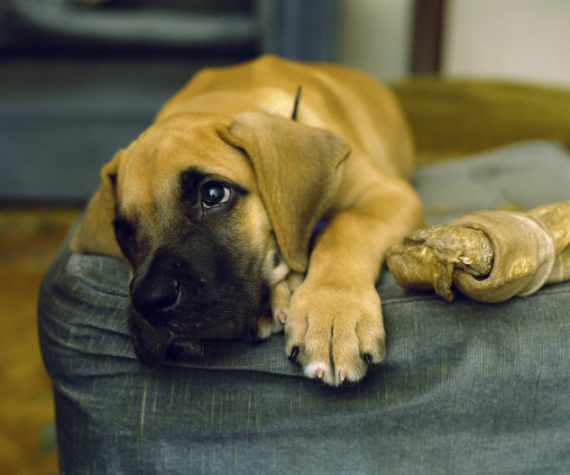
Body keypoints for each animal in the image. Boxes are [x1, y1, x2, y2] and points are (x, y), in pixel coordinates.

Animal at [71, 57, 422, 388]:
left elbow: (346, 228)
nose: (151, 301)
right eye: (122, 232)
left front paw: (333, 311)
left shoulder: (387, 193)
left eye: (213, 194)